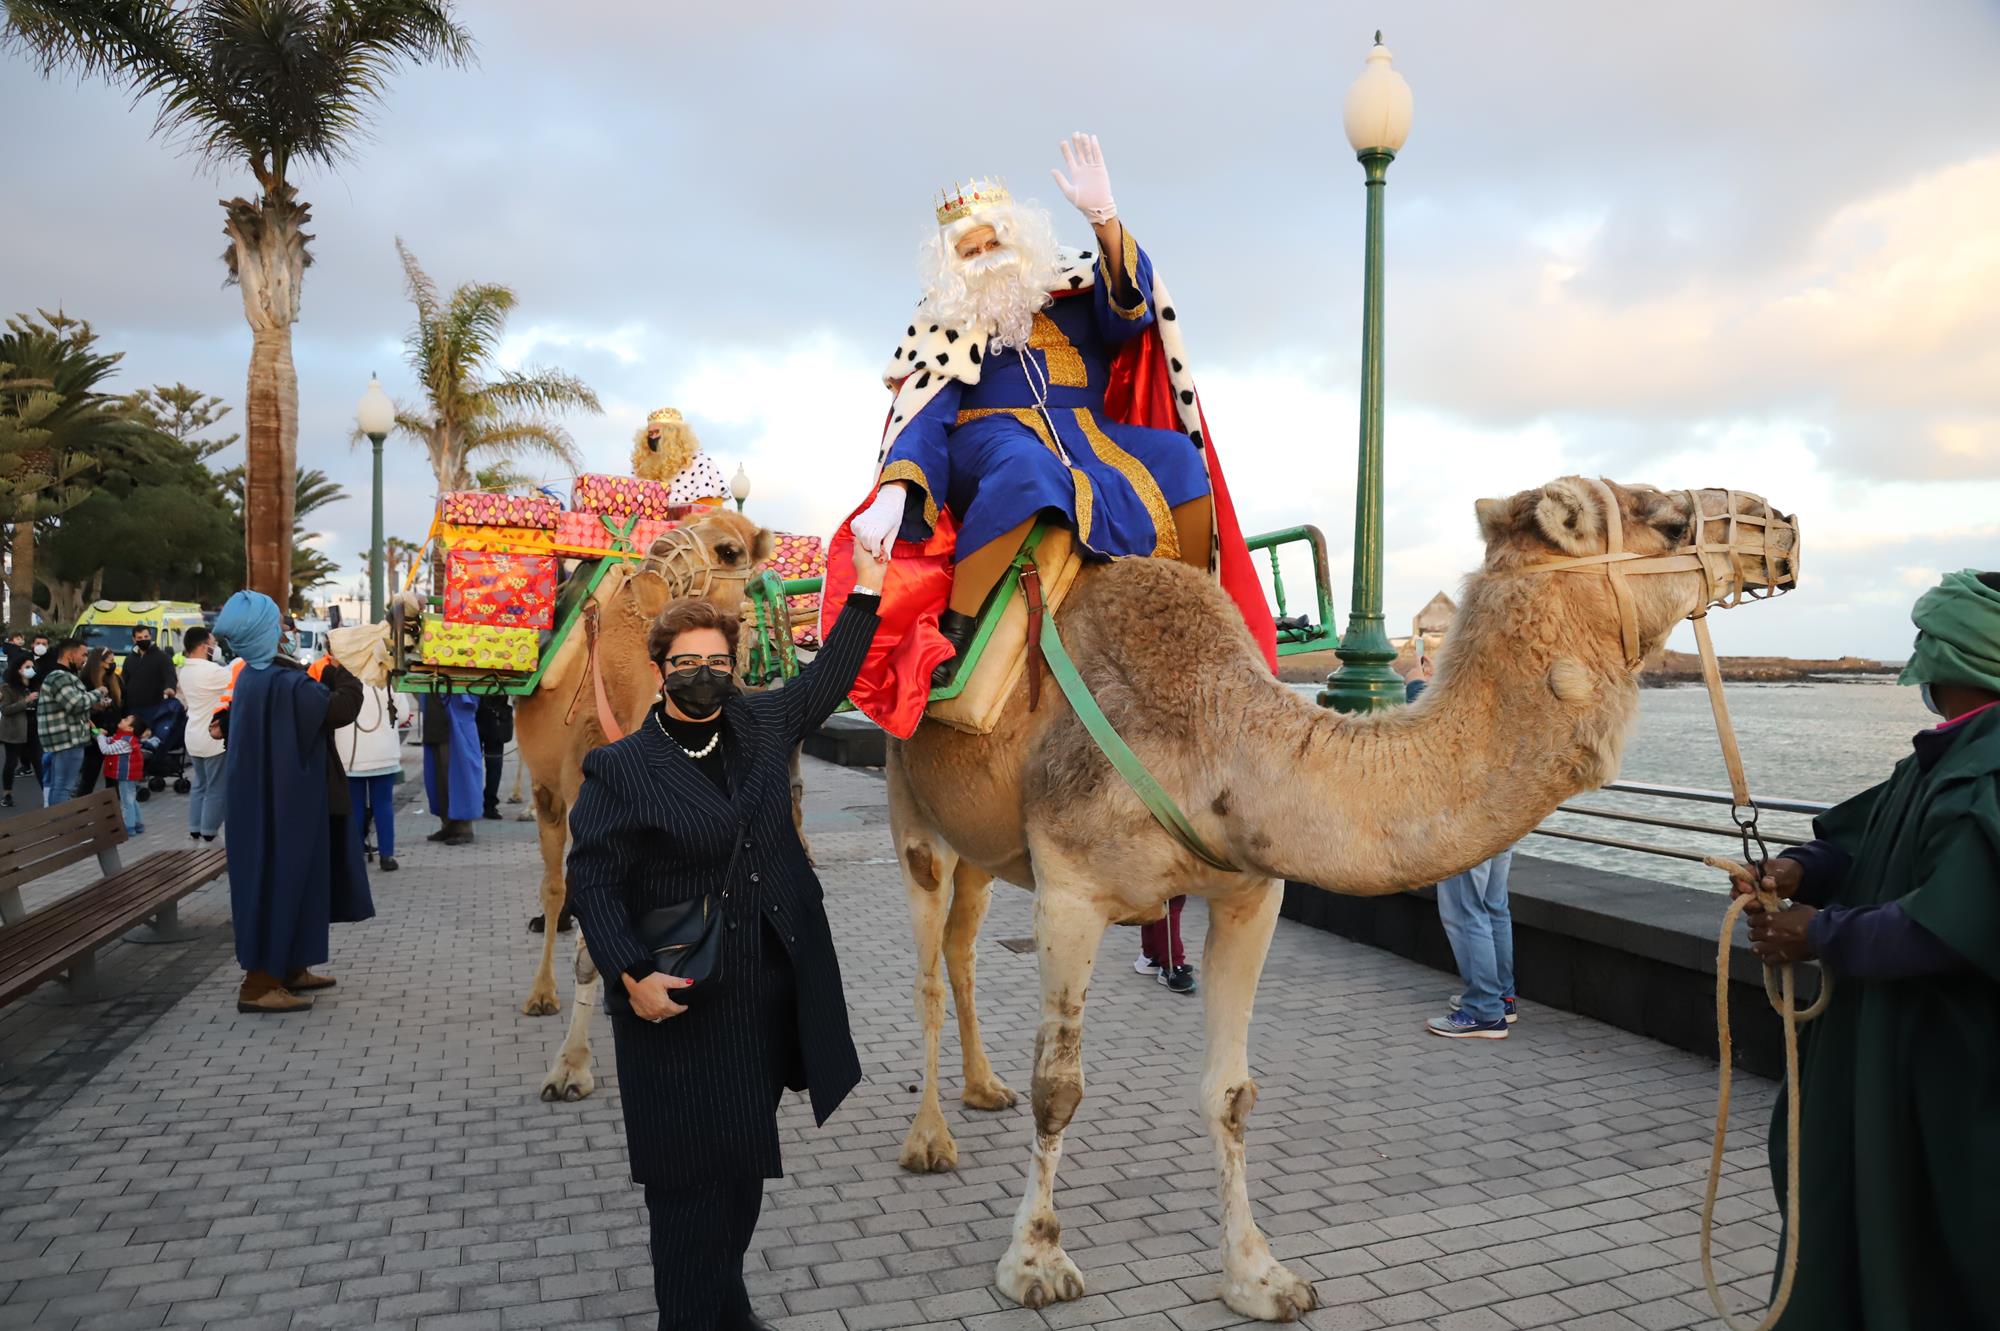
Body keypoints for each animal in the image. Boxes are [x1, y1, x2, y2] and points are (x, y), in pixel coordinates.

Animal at [516, 507, 772, 1095]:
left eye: (729, 550)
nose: (654, 563)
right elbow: (591, 939)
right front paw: (570, 1067)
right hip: (546, 791)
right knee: (553, 889)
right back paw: (541, 993)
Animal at [888, 479, 1800, 1319]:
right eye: (1669, 520)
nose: (1782, 530)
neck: (1213, 738)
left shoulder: (1250, 892)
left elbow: (1230, 1092)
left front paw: (1260, 1277)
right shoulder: (1071, 886)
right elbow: (1060, 1085)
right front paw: (1035, 1263)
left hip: (981, 845)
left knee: (963, 950)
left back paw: (982, 1088)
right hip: (913, 805)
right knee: (927, 970)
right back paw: (929, 1139)